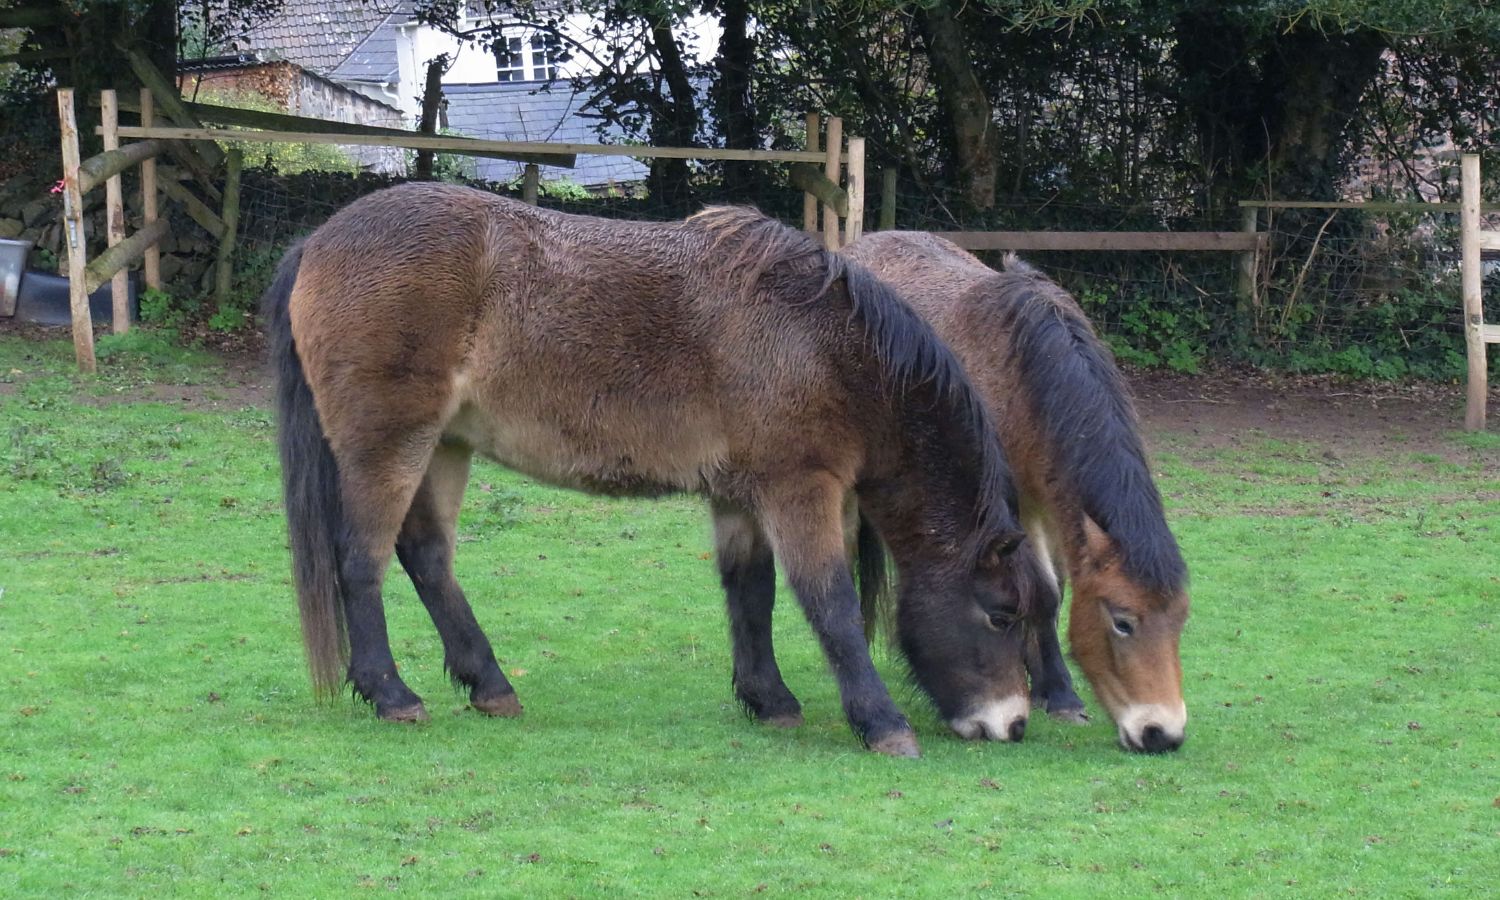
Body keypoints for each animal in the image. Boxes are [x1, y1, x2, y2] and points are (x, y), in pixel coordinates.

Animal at [264, 184, 1044, 759]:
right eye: (1003, 614)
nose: (1013, 724)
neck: (821, 344)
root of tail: (318, 241)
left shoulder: (741, 495)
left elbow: (750, 593)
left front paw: (768, 699)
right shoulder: (801, 489)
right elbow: (831, 603)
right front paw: (881, 723)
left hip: (445, 446)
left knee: (427, 557)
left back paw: (489, 685)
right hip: (389, 444)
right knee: (360, 560)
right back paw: (391, 694)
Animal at [840, 232, 1188, 753]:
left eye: (1182, 620)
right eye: (1123, 621)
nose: (1163, 734)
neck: (1022, 374)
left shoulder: (1049, 503)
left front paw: (1040, 679)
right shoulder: (1012, 507)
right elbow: (1042, 591)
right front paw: (1060, 694)